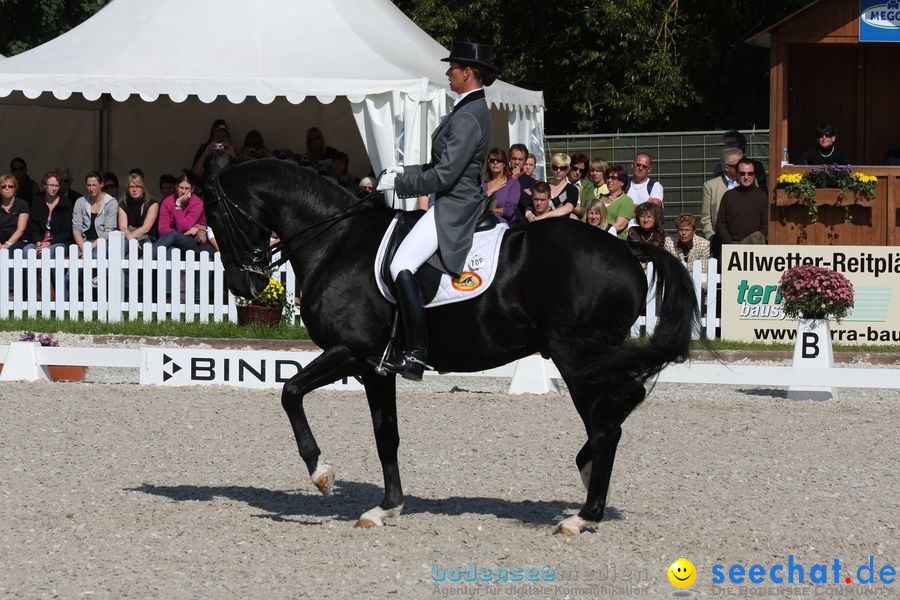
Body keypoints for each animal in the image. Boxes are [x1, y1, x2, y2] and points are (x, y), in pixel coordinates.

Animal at [204, 158, 696, 536]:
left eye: (214, 214)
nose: (242, 287)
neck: (336, 242)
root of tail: (629, 252)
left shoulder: (350, 349)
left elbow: (290, 392)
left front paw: (321, 473)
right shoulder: (374, 366)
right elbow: (386, 435)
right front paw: (387, 508)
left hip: (577, 358)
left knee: (607, 423)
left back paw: (583, 516)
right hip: (585, 359)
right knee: (622, 403)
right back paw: (586, 471)